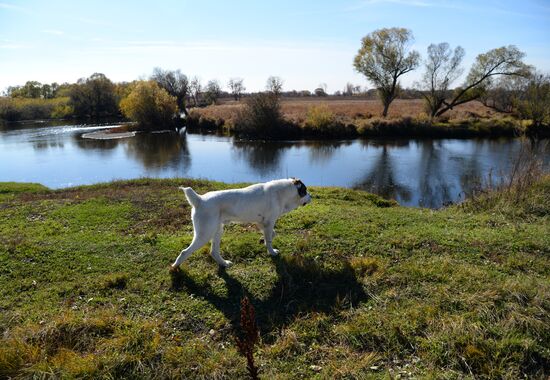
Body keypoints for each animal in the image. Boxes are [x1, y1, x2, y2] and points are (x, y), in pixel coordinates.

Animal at [170, 180, 312, 268]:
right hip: (204, 234)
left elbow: (271, 234)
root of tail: (199, 199)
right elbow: (270, 239)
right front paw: (271, 251)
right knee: (185, 252)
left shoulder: (262, 223)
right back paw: (175, 268)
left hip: (217, 231)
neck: (282, 193)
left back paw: (224, 263)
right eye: (305, 191)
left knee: (214, 252)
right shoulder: (269, 222)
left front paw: (265, 241)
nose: (311, 197)